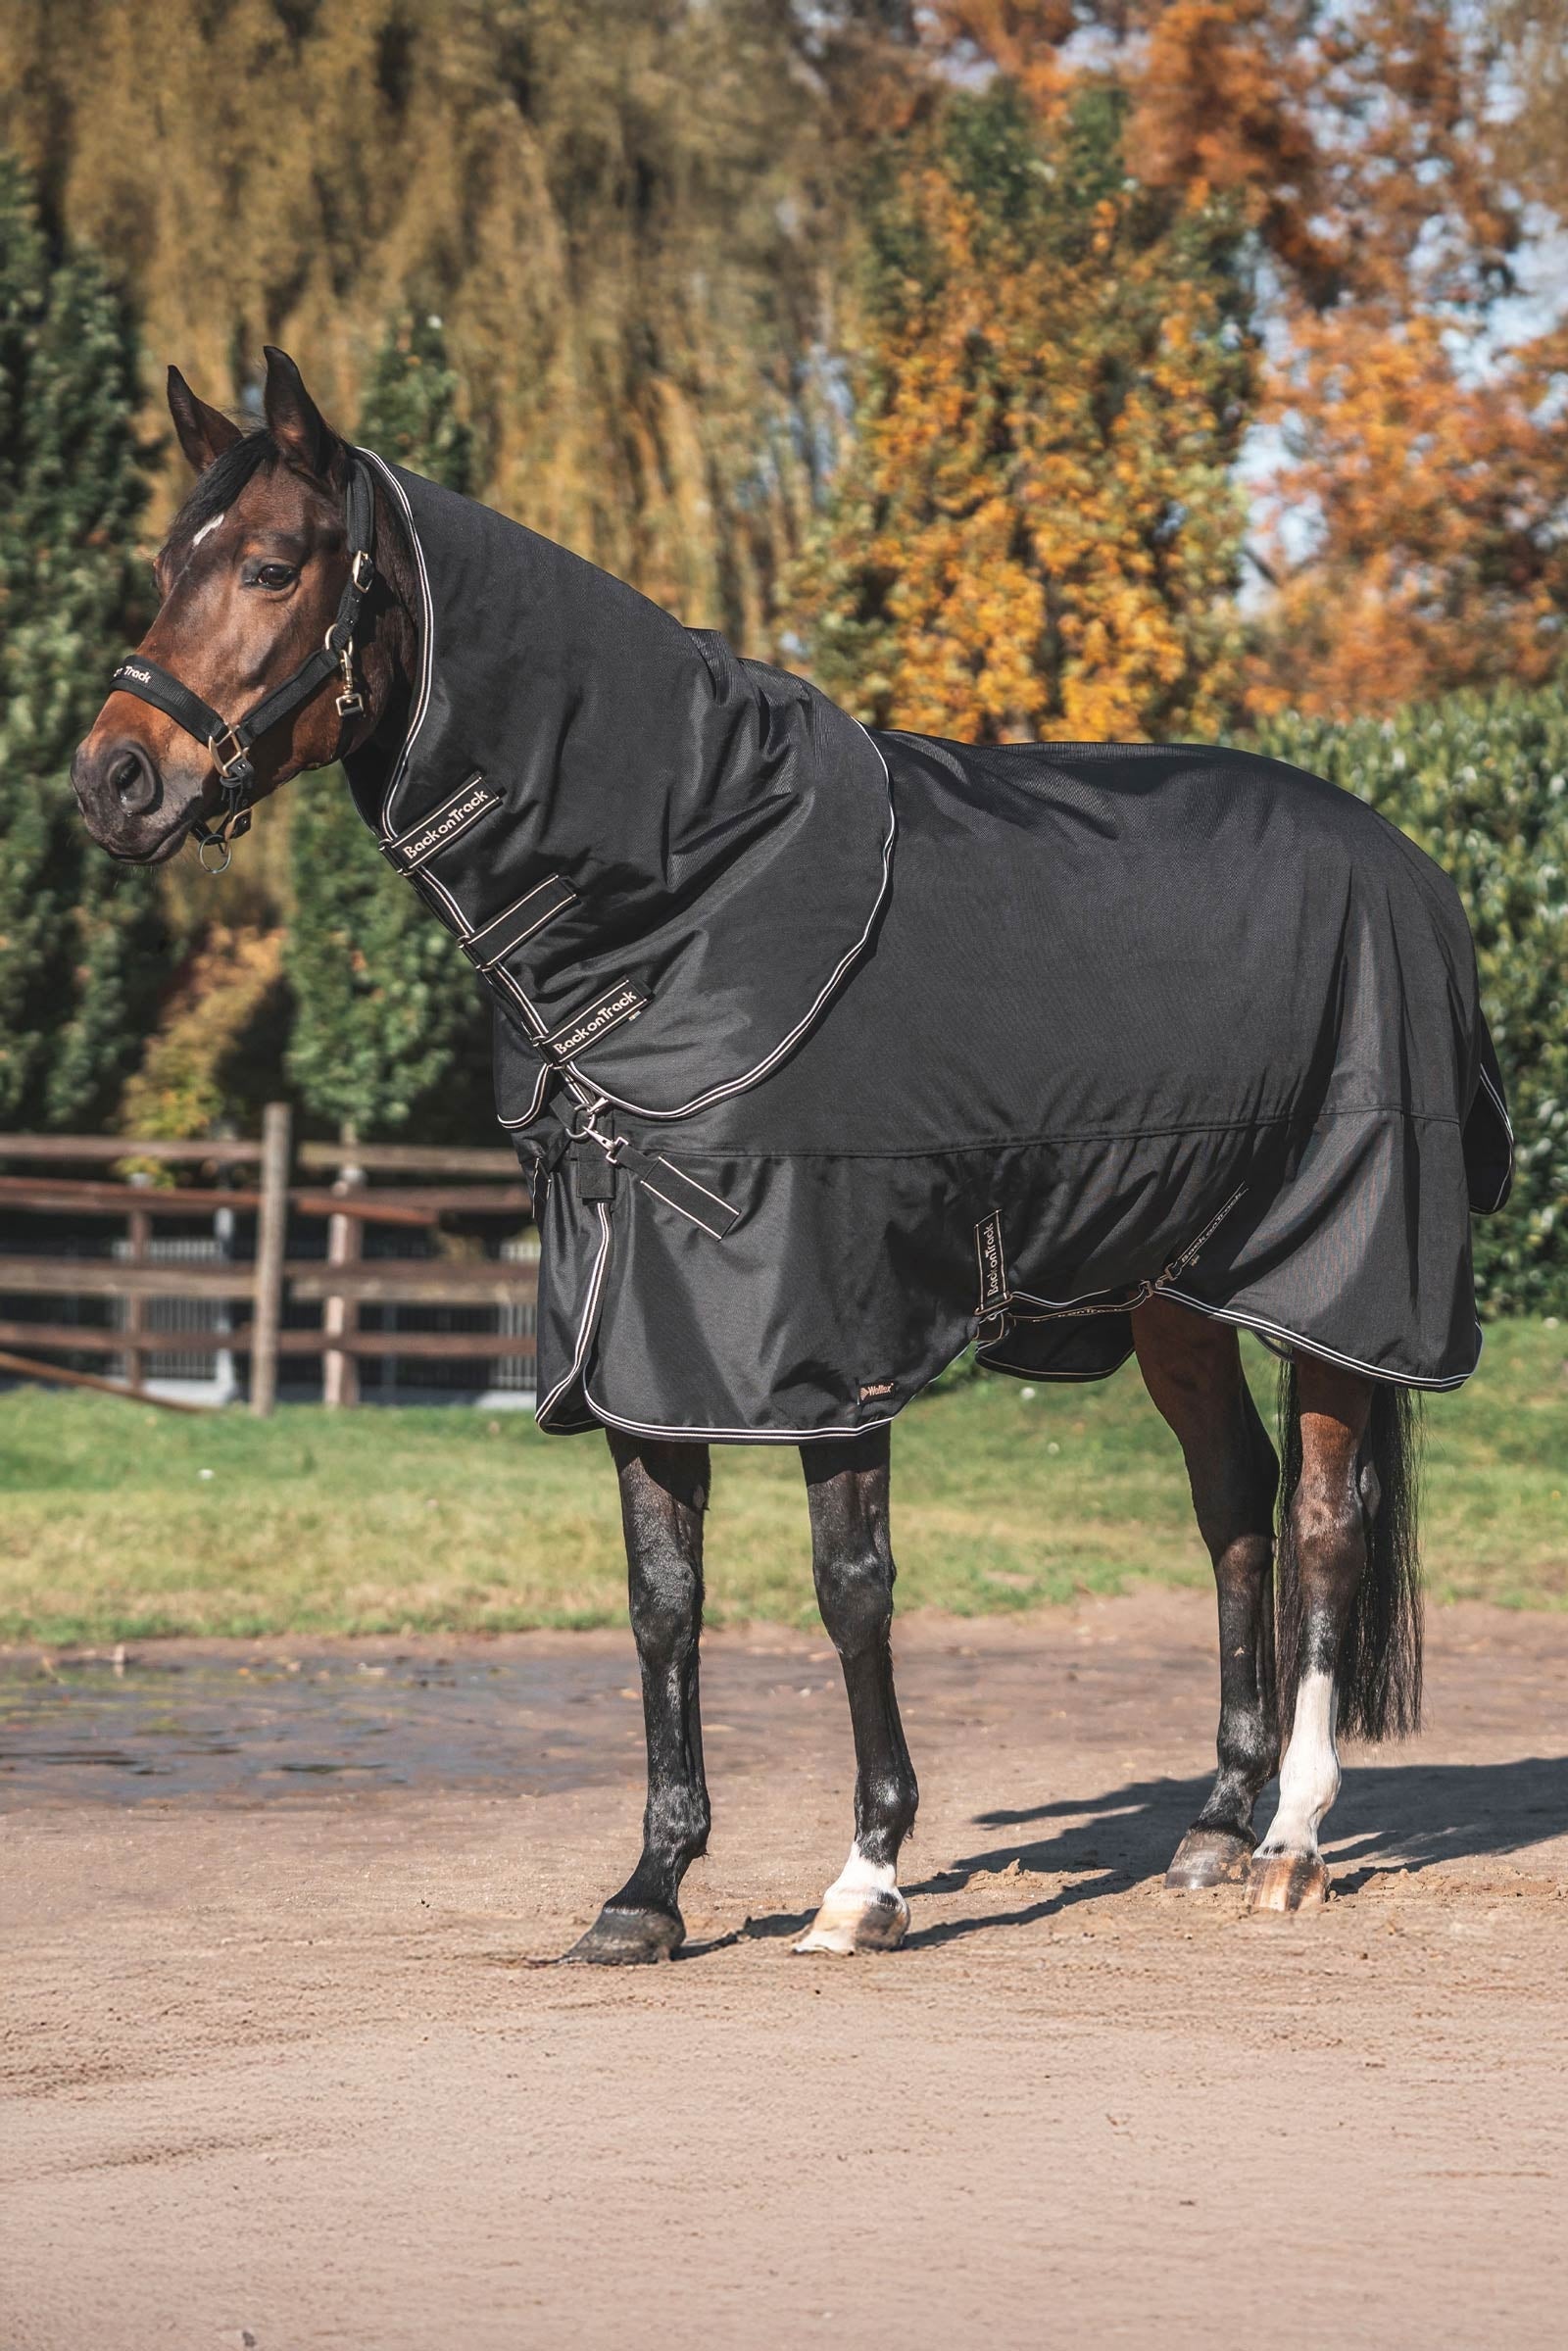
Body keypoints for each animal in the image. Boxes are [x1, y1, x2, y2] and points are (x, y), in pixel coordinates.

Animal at [71, 348, 1511, 1961]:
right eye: (162, 564)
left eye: (269, 564)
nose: (114, 779)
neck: (696, 894)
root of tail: (1403, 862)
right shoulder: (635, 1330)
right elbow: (663, 1599)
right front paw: (647, 1891)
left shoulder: (826, 1329)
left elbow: (851, 1586)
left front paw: (866, 1875)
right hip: (1178, 1288)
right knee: (1233, 1507)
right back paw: (1208, 1823)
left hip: (1337, 1277)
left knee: (1320, 1521)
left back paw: (1290, 1839)